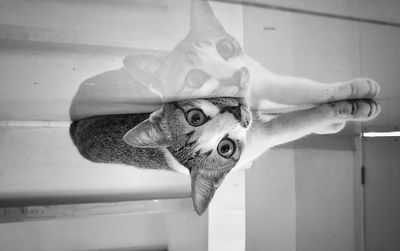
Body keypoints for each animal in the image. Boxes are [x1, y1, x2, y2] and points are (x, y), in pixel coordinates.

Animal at [69, 0, 382, 216]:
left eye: (225, 48)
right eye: (194, 79)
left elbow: (305, 89)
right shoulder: (264, 131)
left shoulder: (263, 78)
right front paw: (351, 110)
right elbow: (305, 119)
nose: (234, 76)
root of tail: (73, 122)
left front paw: (354, 90)